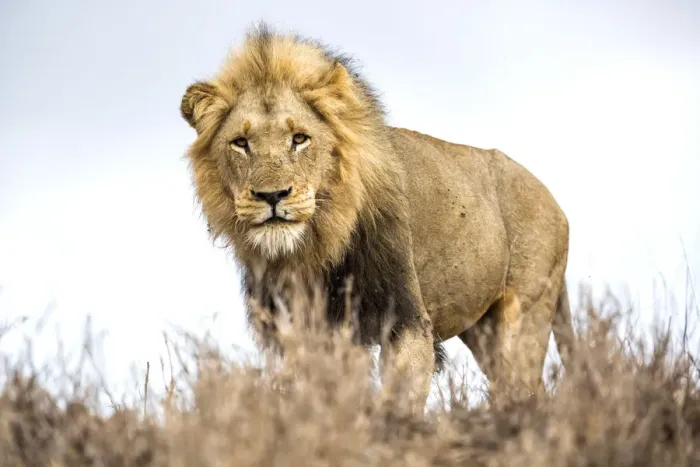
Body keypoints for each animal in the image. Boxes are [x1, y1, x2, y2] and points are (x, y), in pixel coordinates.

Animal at [179, 24, 575, 408]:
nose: (272, 195)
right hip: (482, 329)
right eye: (240, 143)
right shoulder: (306, 333)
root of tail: (556, 203)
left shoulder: (405, 319)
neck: (311, 250)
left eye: (299, 138)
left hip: (525, 313)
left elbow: (399, 401)